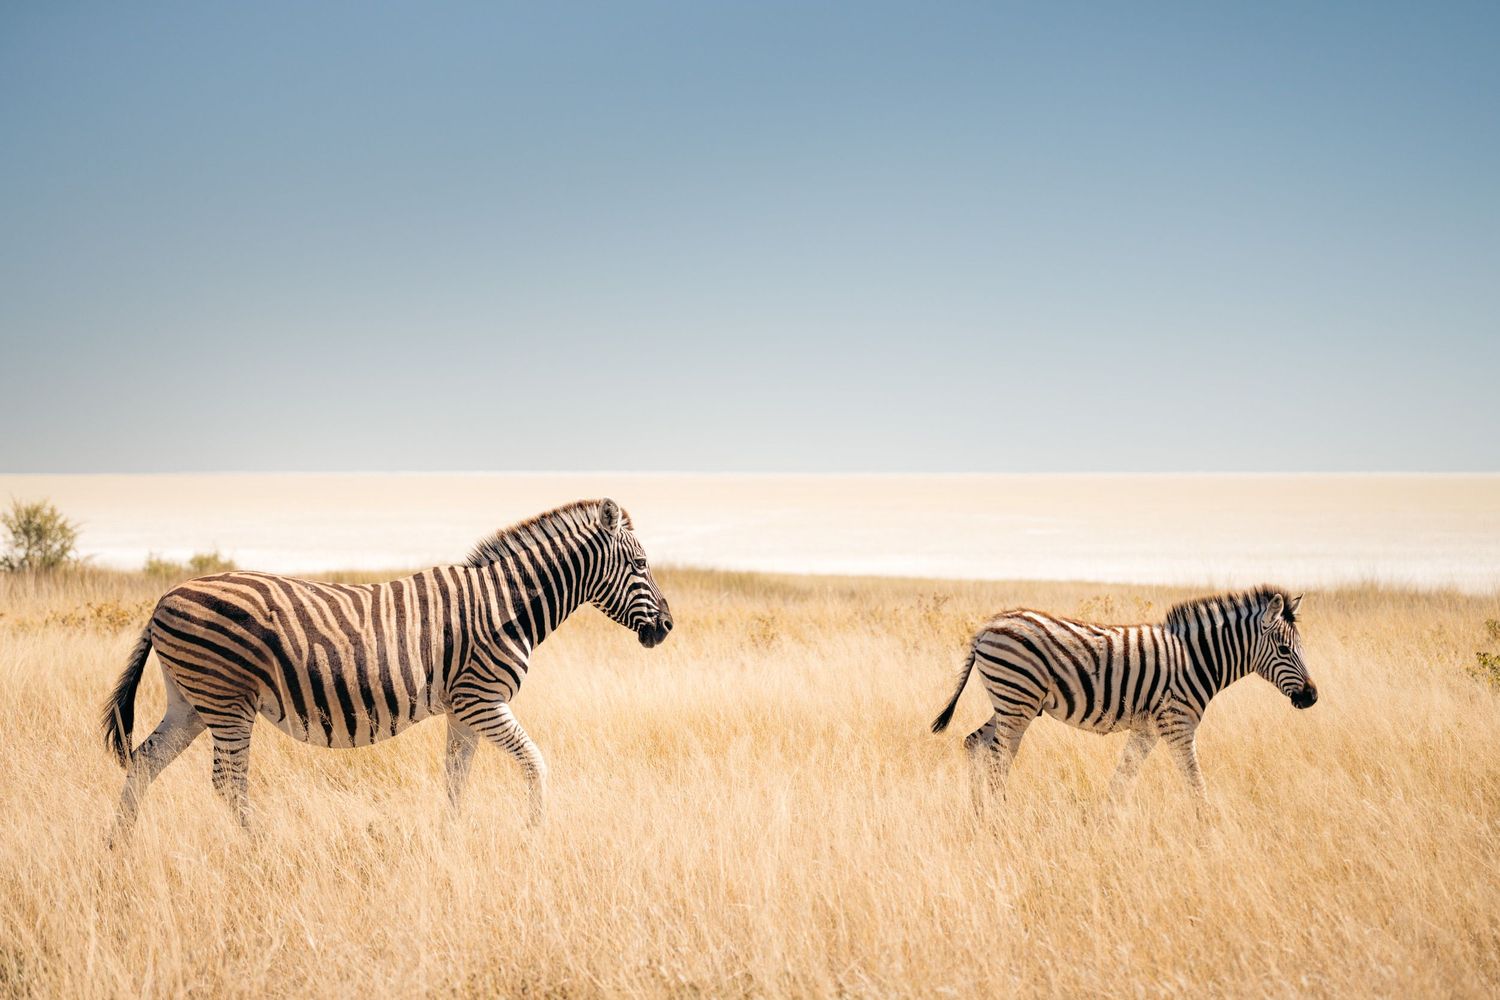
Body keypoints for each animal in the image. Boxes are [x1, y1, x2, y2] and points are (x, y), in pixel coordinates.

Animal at [102, 498, 671, 840]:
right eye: (641, 565)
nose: (666, 627)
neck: (506, 604)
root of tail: (164, 599)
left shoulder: (464, 709)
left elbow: (456, 779)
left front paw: (451, 839)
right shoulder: (483, 700)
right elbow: (535, 763)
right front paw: (535, 835)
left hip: (191, 702)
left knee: (144, 762)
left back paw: (120, 848)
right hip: (226, 701)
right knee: (227, 781)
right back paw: (260, 849)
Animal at [931, 587, 1316, 808]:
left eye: (1300, 647)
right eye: (1285, 649)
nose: (1311, 697)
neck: (1196, 658)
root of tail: (985, 627)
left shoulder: (1147, 728)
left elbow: (1123, 777)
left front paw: (1107, 821)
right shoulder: (1177, 724)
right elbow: (1194, 779)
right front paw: (1206, 829)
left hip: (1012, 702)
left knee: (974, 743)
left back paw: (979, 814)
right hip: (1017, 699)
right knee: (998, 756)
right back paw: (999, 817)